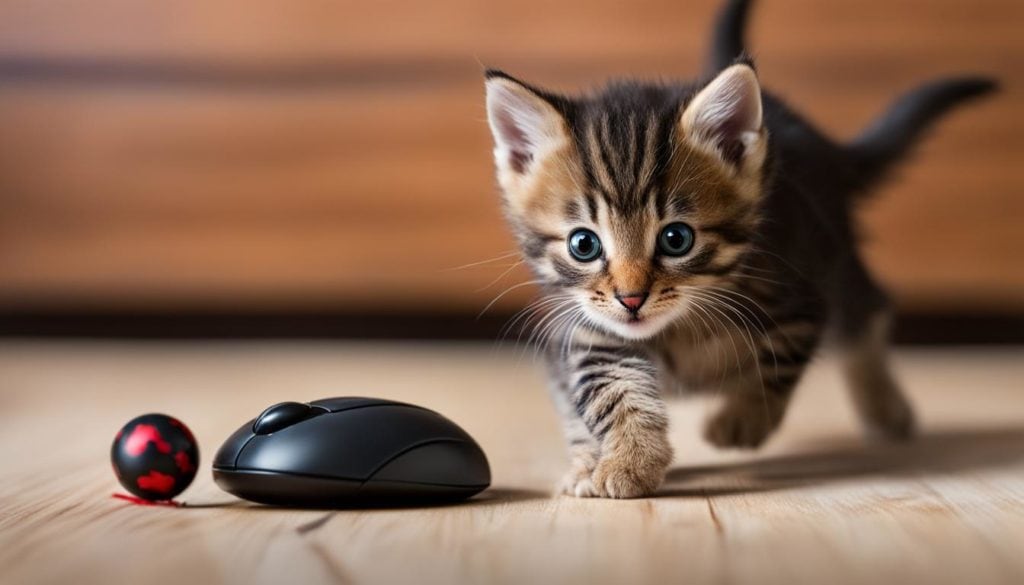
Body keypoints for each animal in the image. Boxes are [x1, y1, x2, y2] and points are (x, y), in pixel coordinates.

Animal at [483, 0, 995, 499]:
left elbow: (777, 362)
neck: (678, 326)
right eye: (583, 244)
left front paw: (742, 420)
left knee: (866, 311)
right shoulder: (584, 330)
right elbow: (607, 391)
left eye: (676, 239)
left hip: (834, 251)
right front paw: (620, 459)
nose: (632, 299)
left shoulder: (800, 295)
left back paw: (884, 406)